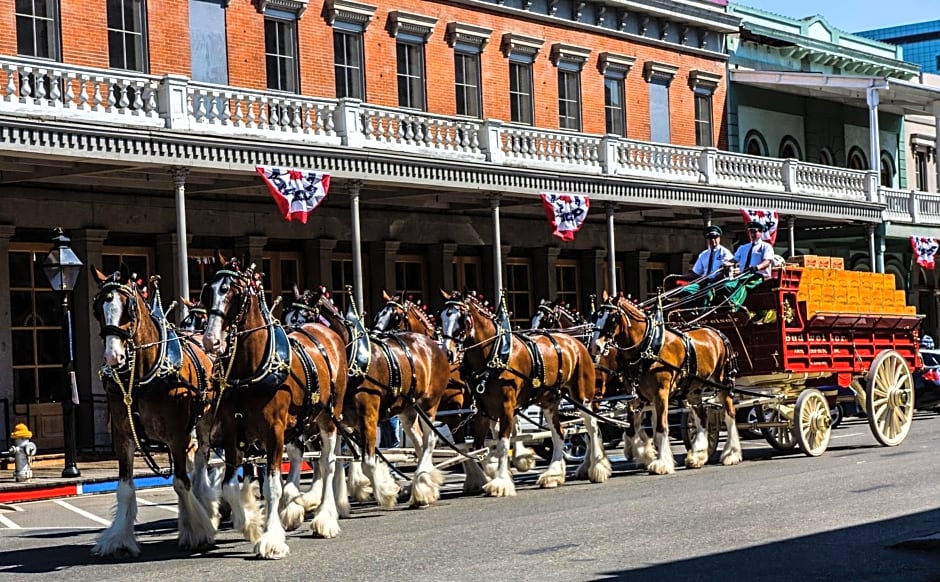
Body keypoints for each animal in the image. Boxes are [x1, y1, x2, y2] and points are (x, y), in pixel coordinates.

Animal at [91, 270, 218, 560]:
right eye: (97, 309)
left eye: (129, 308)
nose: (113, 357)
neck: (141, 378)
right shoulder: (123, 437)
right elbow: (125, 488)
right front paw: (119, 539)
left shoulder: (177, 435)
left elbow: (181, 482)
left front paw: (197, 531)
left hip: (205, 421)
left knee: (201, 460)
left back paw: (206, 507)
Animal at [200, 256, 346, 560]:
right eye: (208, 291)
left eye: (232, 292)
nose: (210, 340)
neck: (250, 369)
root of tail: (326, 331)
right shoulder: (232, 431)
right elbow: (229, 486)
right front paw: (251, 523)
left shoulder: (273, 432)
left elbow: (272, 486)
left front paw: (271, 539)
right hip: (299, 422)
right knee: (301, 455)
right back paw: (292, 508)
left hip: (328, 417)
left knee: (327, 463)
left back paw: (325, 518)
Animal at [438, 292, 612, 498]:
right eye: (441, 317)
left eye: (461, 318)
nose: (447, 352)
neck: (495, 354)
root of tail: (576, 342)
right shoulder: (483, 410)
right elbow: (479, 446)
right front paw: (491, 472)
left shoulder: (506, 406)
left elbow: (503, 443)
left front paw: (501, 482)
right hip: (549, 400)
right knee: (559, 433)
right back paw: (553, 475)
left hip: (581, 395)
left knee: (591, 426)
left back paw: (597, 468)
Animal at [588, 294, 740, 476]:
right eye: (595, 316)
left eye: (611, 318)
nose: (595, 347)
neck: (648, 347)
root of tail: (717, 333)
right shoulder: (637, 397)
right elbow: (631, 429)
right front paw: (645, 454)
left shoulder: (661, 393)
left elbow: (660, 428)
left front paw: (661, 463)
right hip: (693, 389)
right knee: (702, 419)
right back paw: (697, 456)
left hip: (723, 383)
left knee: (730, 414)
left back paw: (731, 454)